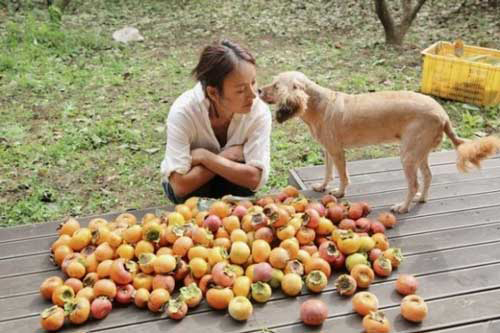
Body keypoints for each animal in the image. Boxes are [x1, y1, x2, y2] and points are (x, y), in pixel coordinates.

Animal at [260, 71, 500, 213]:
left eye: (276, 85)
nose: (259, 90)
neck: (319, 104)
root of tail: (443, 115)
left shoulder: (337, 151)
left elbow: (343, 176)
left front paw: (339, 192)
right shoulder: (327, 150)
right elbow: (328, 172)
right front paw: (322, 186)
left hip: (408, 155)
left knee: (413, 184)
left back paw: (403, 207)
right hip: (419, 153)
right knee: (427, 177)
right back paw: (421, 199)